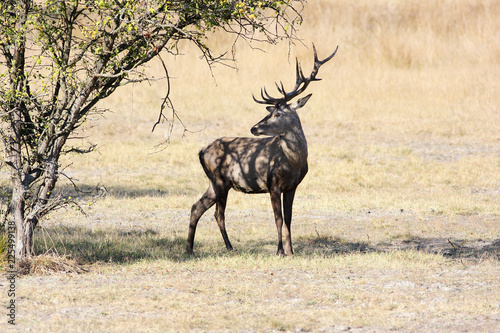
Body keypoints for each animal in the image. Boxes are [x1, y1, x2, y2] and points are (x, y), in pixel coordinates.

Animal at [186, 44, 338, 255]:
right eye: (271, 111)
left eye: (278, 113)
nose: (254, 128)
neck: (293, 163)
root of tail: (201, 151)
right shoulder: (273, 183)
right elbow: (278, 219)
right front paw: (280, 251)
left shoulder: (292, 186)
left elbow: (289, 218)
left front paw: (291, 251)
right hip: (219, 181)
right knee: (217, 213)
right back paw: (223, 247)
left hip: (215, 183)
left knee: (197, 207)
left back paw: (193, 249)